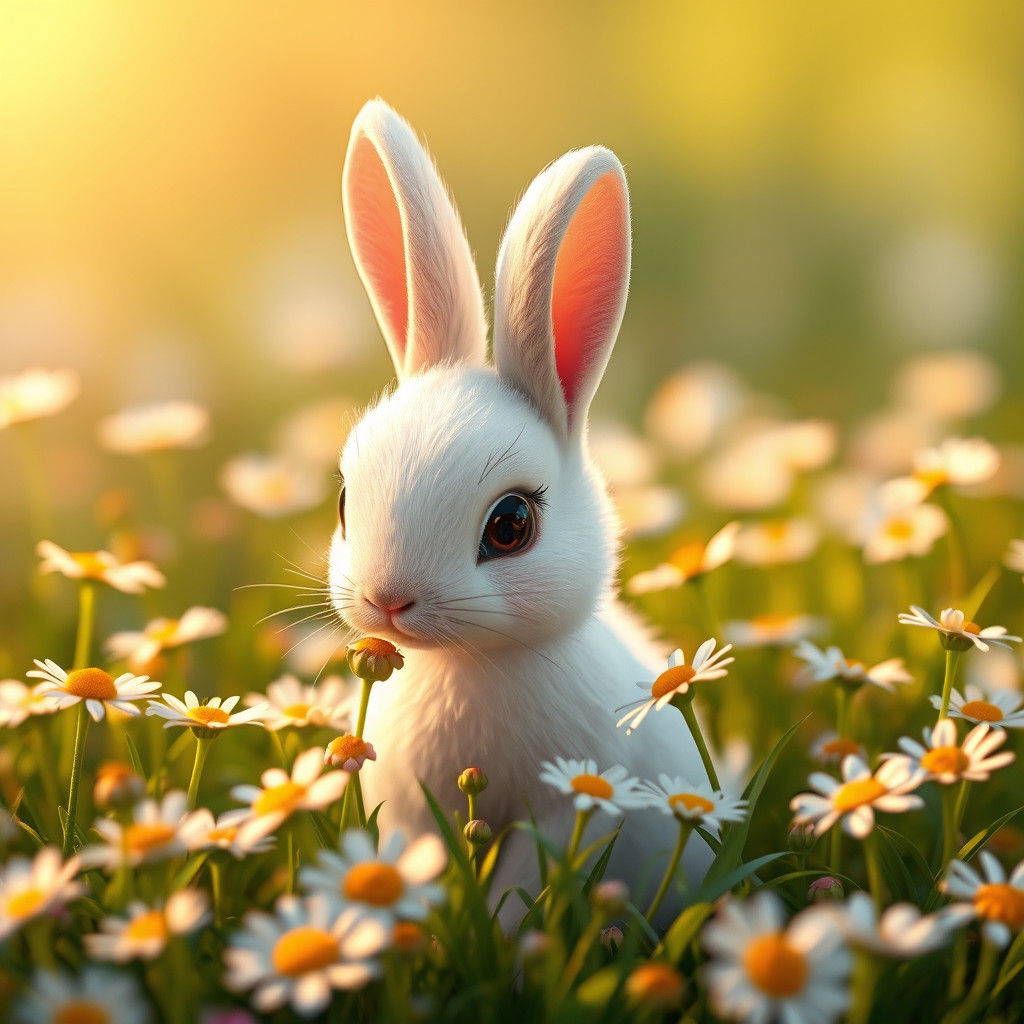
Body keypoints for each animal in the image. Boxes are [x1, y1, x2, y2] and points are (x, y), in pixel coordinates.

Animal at [327, 98, 715, 924]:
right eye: (345, 501)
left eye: (510, 526)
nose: (388, 599)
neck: (467, 664)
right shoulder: (409, 808)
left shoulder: (566, 808)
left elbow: (521, 888)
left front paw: (500, 937)